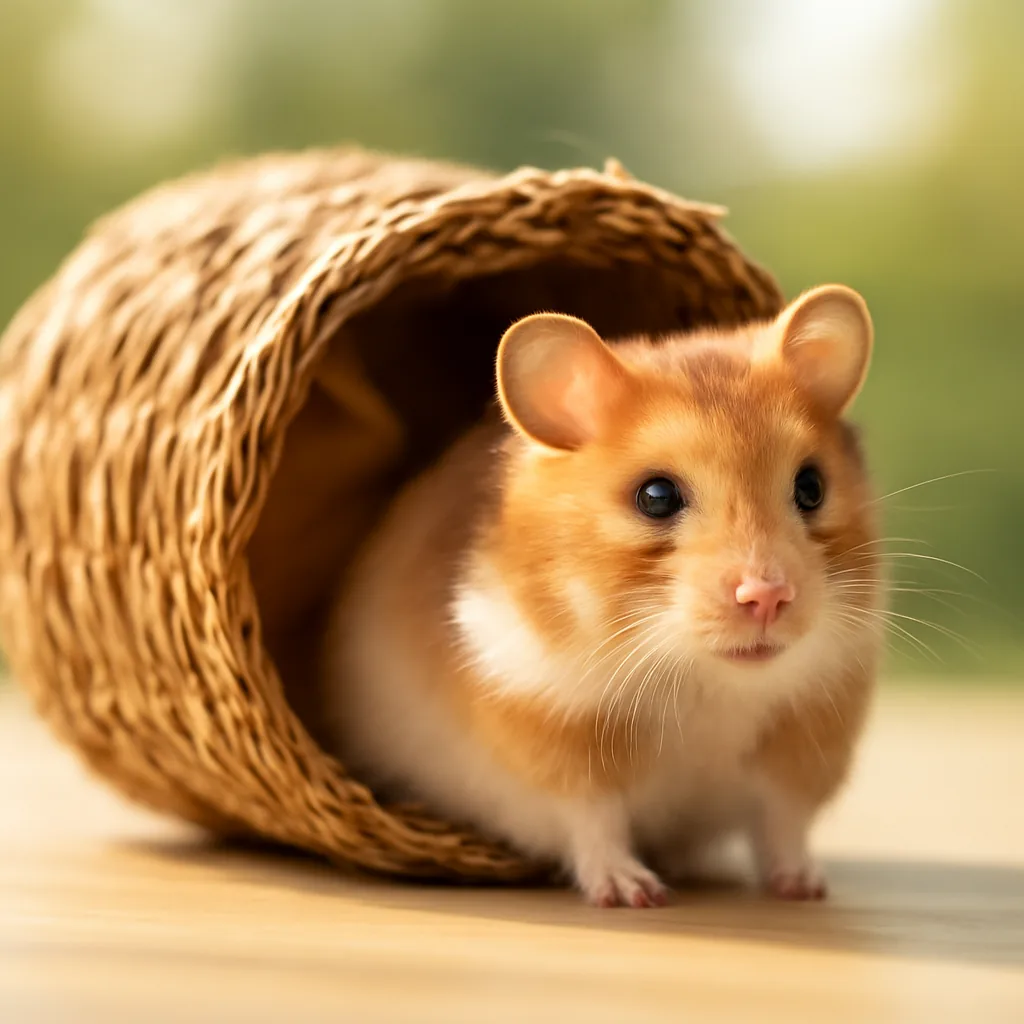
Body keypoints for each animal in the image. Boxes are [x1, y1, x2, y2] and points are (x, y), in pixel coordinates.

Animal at [321, 285, 882, 907]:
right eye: (656, 497)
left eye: (811, 487)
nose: (767, 596)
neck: (703, 682)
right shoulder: (552, 737)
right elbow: (594, 822)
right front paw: (636, 895)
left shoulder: (806, 739)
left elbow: (782, 824)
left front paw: (806, 888)